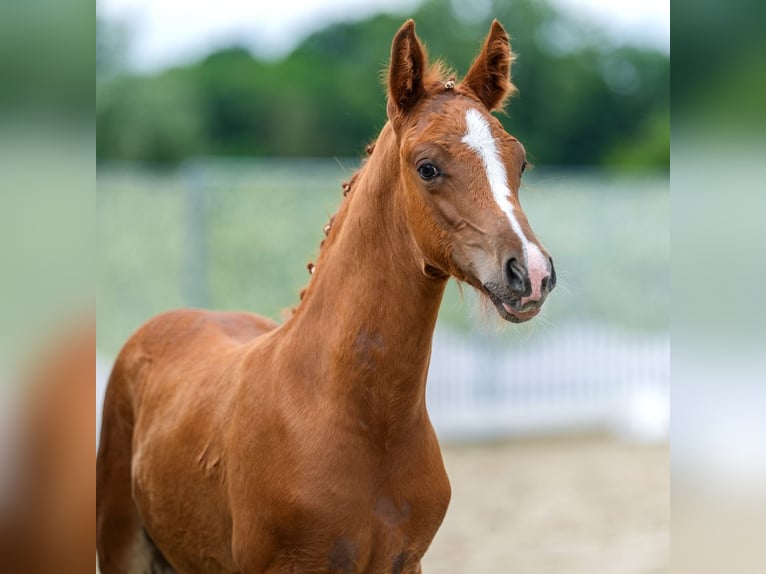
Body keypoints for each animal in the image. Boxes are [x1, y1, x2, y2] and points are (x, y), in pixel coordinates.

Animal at [96, 19, 555, 574]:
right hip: (121, 544)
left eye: (521, 163)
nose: (531, 272)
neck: (364, 423)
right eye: (427, 167)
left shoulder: (406, 562)